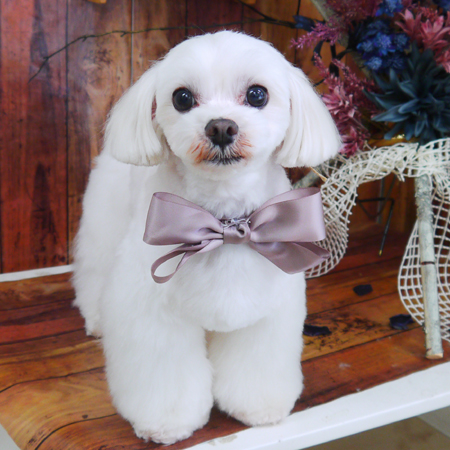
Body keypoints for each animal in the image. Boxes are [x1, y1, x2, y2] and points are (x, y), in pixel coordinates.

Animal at [73, 30, 341, 445]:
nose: (221, 127)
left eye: (257, 95)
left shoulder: (268, 308)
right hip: (105, 225)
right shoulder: (152, 311)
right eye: (182, 98)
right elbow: (164, 375)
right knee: (94, 272)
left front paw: (258, 407)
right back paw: (97, 317)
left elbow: (257, 363)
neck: (224, 220)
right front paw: (166, 422)